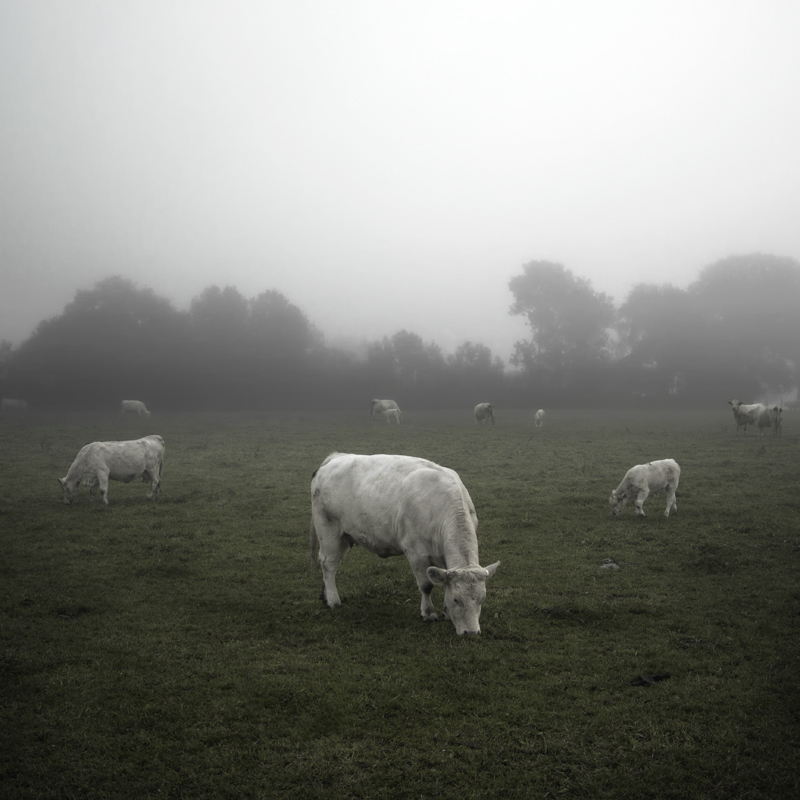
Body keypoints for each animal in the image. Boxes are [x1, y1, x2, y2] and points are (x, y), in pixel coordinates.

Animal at [310, 454, 496, 636]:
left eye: (482, 599)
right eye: (457, 599)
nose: (471, 632)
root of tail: (336, 457)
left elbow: (444, 582)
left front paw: (447, 614)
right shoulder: (416, 553)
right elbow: (426, 585)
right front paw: (428, 613)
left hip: (345, 536)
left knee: (333, 564)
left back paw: (326, 595)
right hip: (329, 530)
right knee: (328, 564)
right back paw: (333, 601)